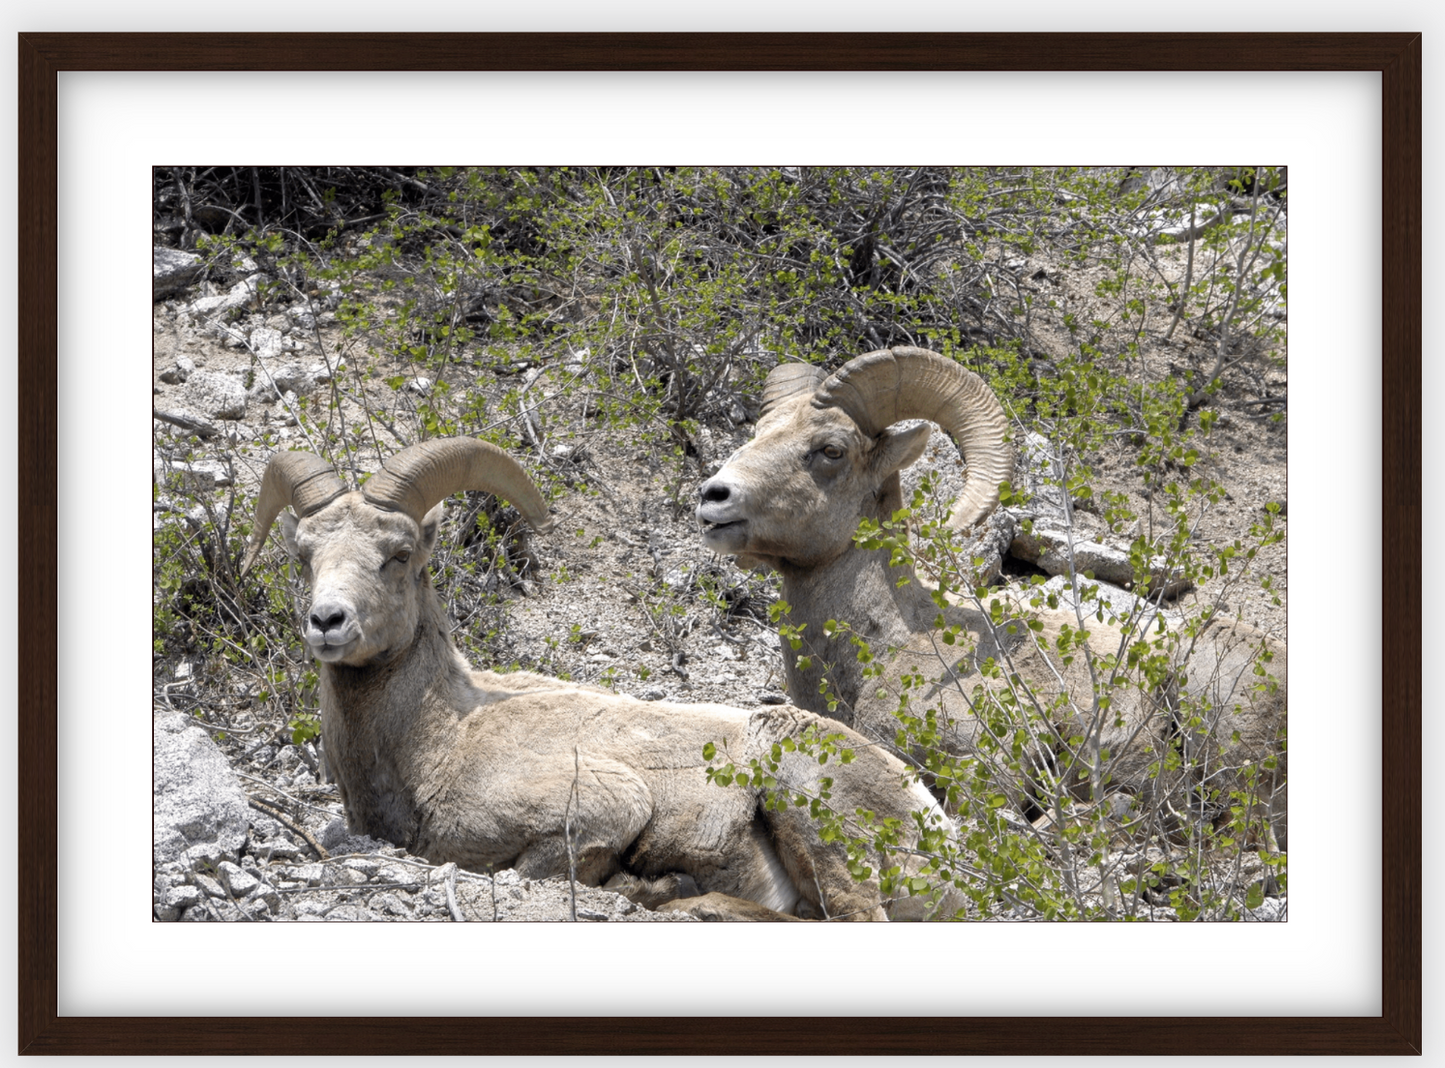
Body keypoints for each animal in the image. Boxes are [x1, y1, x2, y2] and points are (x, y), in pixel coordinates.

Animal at [245, 439, 971, 924]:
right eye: (304, 555)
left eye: (397, 556)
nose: (327, 622)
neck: (440, 741)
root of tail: (933, 823)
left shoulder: (602, 811)